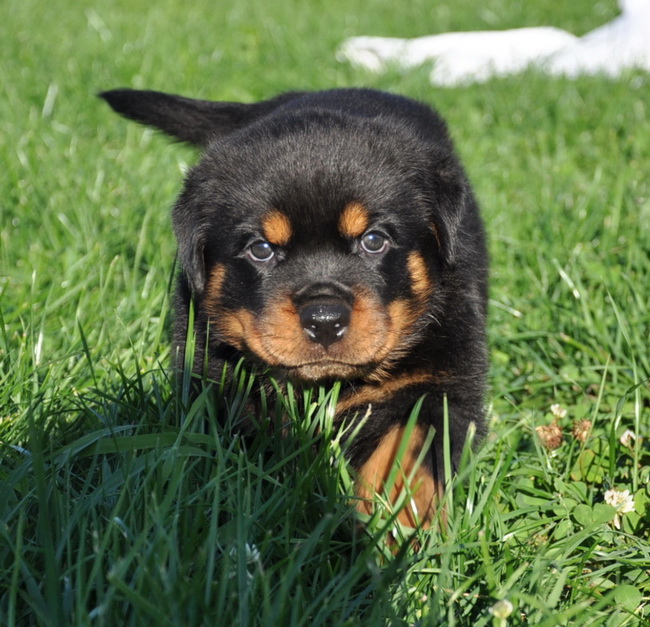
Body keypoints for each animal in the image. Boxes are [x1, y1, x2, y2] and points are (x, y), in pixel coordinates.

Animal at [101, 87, 486, 528]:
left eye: (374, 240)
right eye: (261, 249)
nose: (325, 321)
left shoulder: (439, 381)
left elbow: (406, 451)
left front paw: (396, 520)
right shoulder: (217, 378)